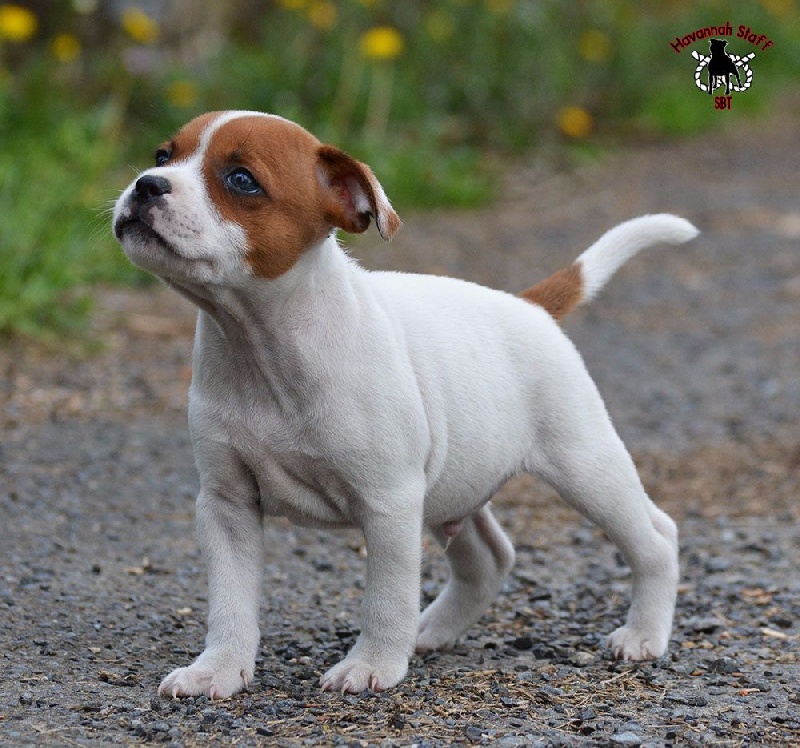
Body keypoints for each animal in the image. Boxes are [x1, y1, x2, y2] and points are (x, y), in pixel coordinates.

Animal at [113, 110, 697, 698]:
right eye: (163, 156)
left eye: (240, 180)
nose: (146, 184)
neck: (260, 341)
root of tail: (529, 306)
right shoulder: (227, 505)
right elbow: (230, 602)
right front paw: (217, 669)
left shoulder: (388, 502)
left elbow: (387, 596)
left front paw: (372, 664)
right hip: (455, 484)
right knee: (489, 559)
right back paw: (432, 630)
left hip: (586, 465)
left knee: (656, 538)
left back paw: (643, 634)